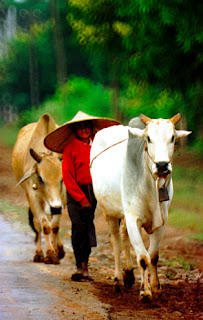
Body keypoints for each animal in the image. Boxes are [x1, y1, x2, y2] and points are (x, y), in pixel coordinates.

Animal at [12, 114, 66, 264]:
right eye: (41, 178)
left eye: (62, 178)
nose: (55, 208)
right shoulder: (33, 196)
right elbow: (45, 226)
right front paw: (49, 254)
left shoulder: (62, 198)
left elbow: (55, 226)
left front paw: (57, 251)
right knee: (38, 224)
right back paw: (39, 253)